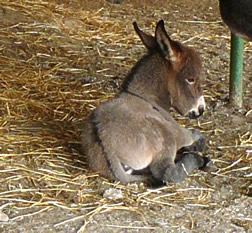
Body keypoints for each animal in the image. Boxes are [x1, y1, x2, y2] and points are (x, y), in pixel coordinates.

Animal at [82, 19, 215, 184]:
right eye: (190, 79)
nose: (201, 109)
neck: (145, 96)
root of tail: (107, 145)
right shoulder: (181, 133)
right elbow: (197, 134)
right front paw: (195, 148)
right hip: (165, 137)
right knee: (166, 172)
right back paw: (200, 160)